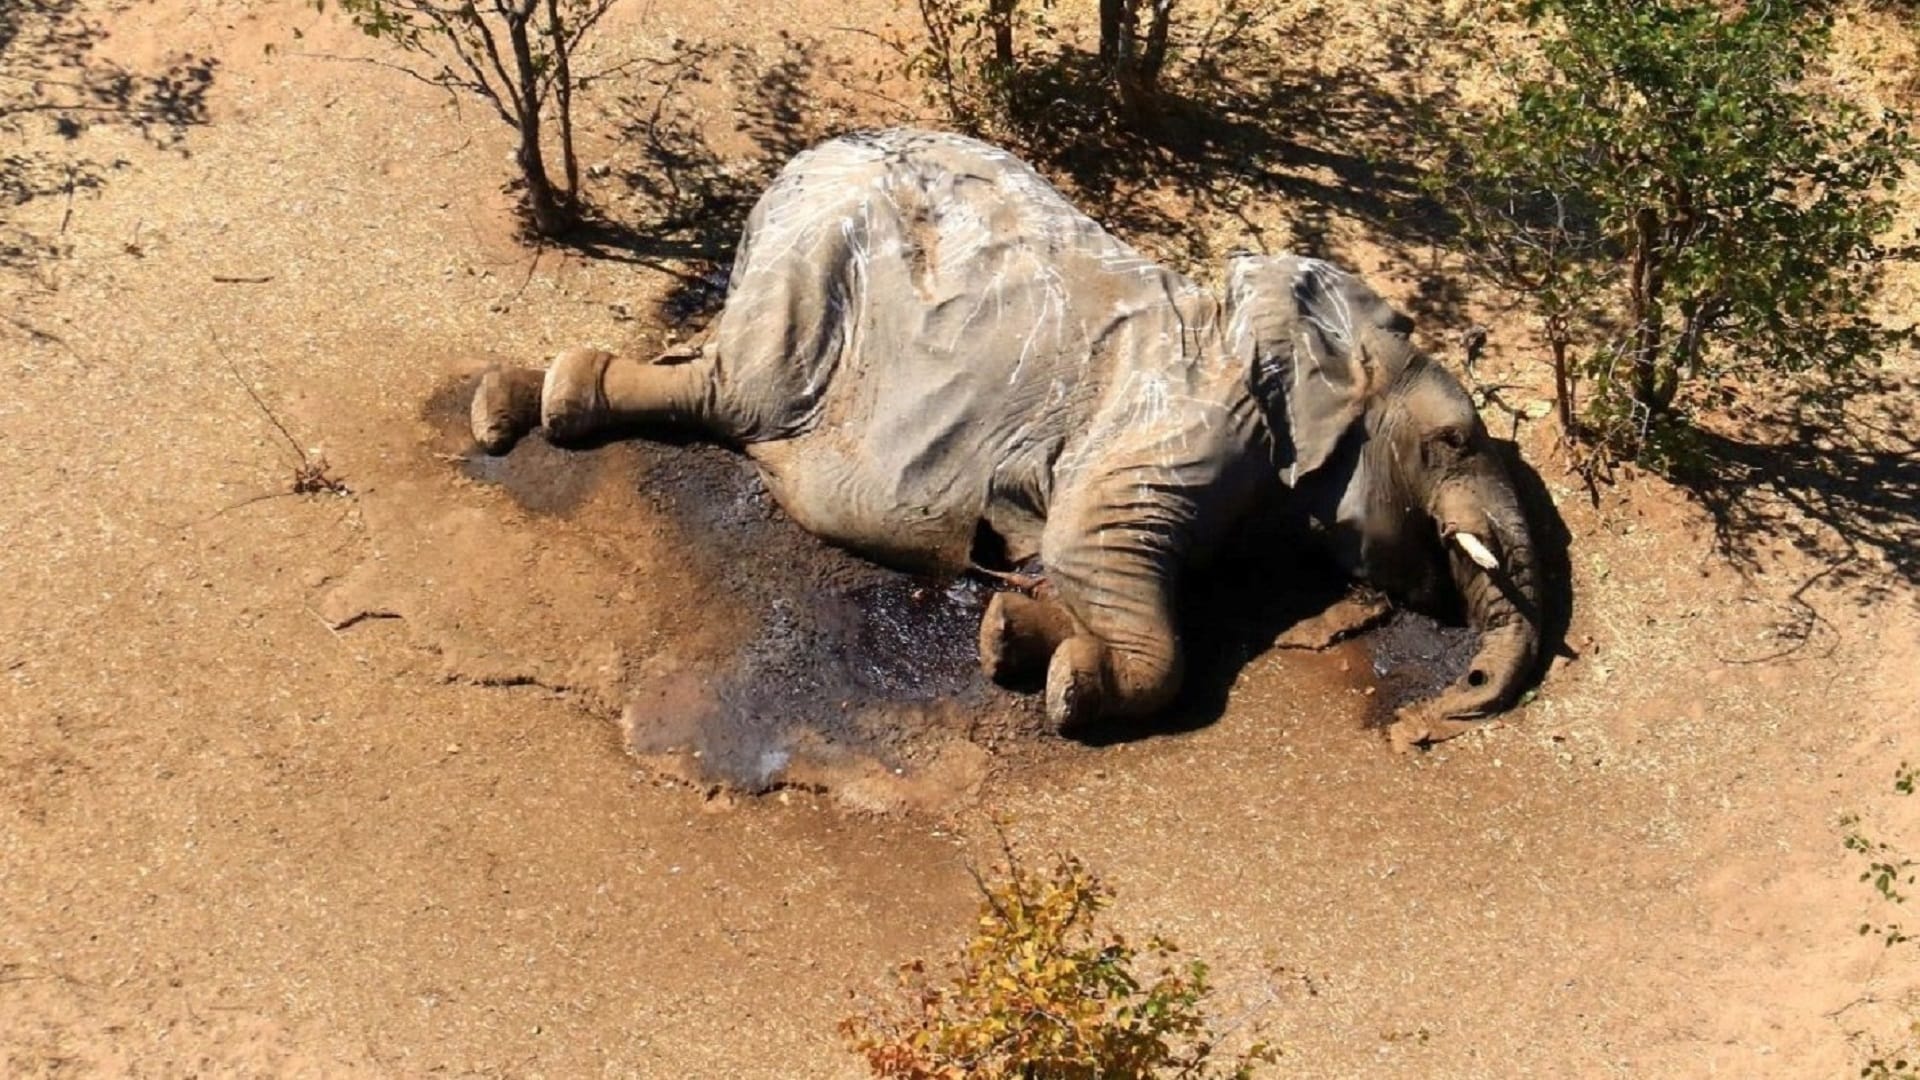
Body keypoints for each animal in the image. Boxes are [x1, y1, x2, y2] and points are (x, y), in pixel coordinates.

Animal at [472, 125, 1551, 745]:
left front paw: (1011, 636)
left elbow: (1078, 563)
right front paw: (1071, 685)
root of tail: (796, 163)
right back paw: (530, 404)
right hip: (812, 268)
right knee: (739, 395)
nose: (1429, 724)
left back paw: (514, 402)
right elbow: (1093, 548)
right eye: (1454, 440)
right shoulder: (1184, 421)